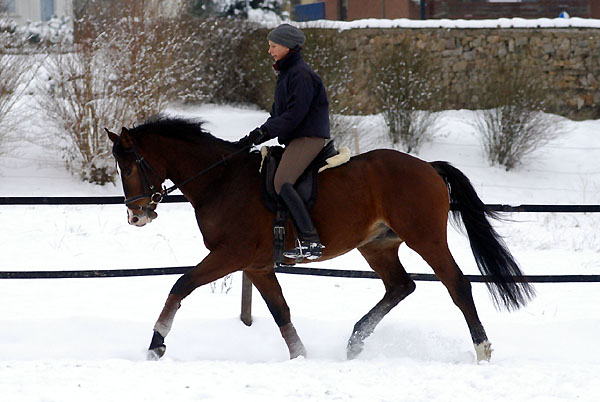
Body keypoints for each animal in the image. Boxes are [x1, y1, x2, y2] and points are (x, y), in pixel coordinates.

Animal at [106, 117, 536, 364]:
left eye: (129, 166)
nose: (136, 215)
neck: (220, 179)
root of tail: (427, 166)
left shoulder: (231, 255)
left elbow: (180, 285)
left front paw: (156, 345)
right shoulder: (256, 265)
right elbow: (281, 312)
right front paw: (301, 357)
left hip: (425, 238)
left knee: (457, 285)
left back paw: (482, 351)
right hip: (376, 245)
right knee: (400, 286)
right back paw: (355, 342)